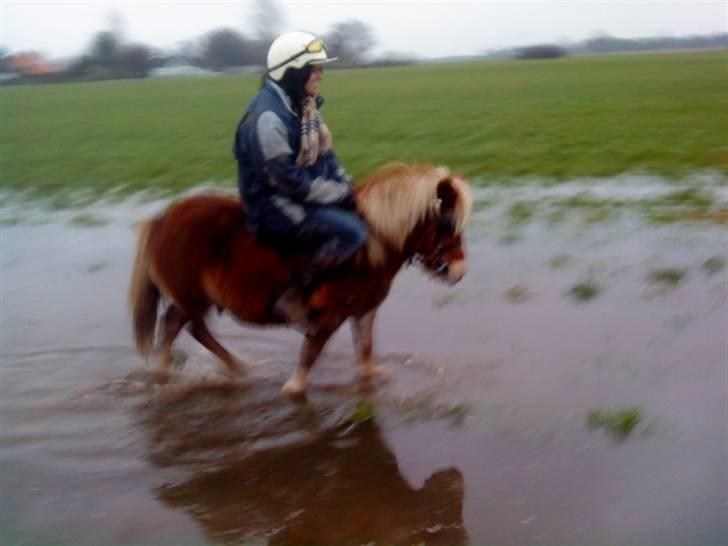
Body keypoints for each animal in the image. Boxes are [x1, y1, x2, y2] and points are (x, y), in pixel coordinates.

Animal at [129, 163, 474, 396]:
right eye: (446, 224)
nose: (458, 271)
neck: (369, 248)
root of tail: (162, 220)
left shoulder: (364, 310)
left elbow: (365, 351)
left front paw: (371, 379)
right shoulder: (328, 317)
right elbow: (310, 356)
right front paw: (293, 389)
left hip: (192, 298)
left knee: (174, 325)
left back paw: (168, 371)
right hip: (194, 297)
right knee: (193, 328)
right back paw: (236, 368)